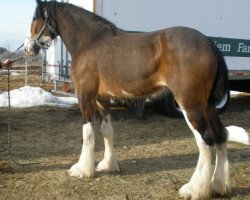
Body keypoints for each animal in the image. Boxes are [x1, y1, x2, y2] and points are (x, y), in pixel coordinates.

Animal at [23, 0, 250, 199]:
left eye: (35, 18)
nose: (27, 48)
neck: (90, 42)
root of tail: (208, 42)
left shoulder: (85, 97)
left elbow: (88, 133)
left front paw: (82, 169)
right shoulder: (103, 99)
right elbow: (107, 131)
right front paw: (108, 165)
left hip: (190, 104)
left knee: (205, 141)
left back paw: (194, 189)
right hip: (207, 105)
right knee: (221, 135)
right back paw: (219, 185)